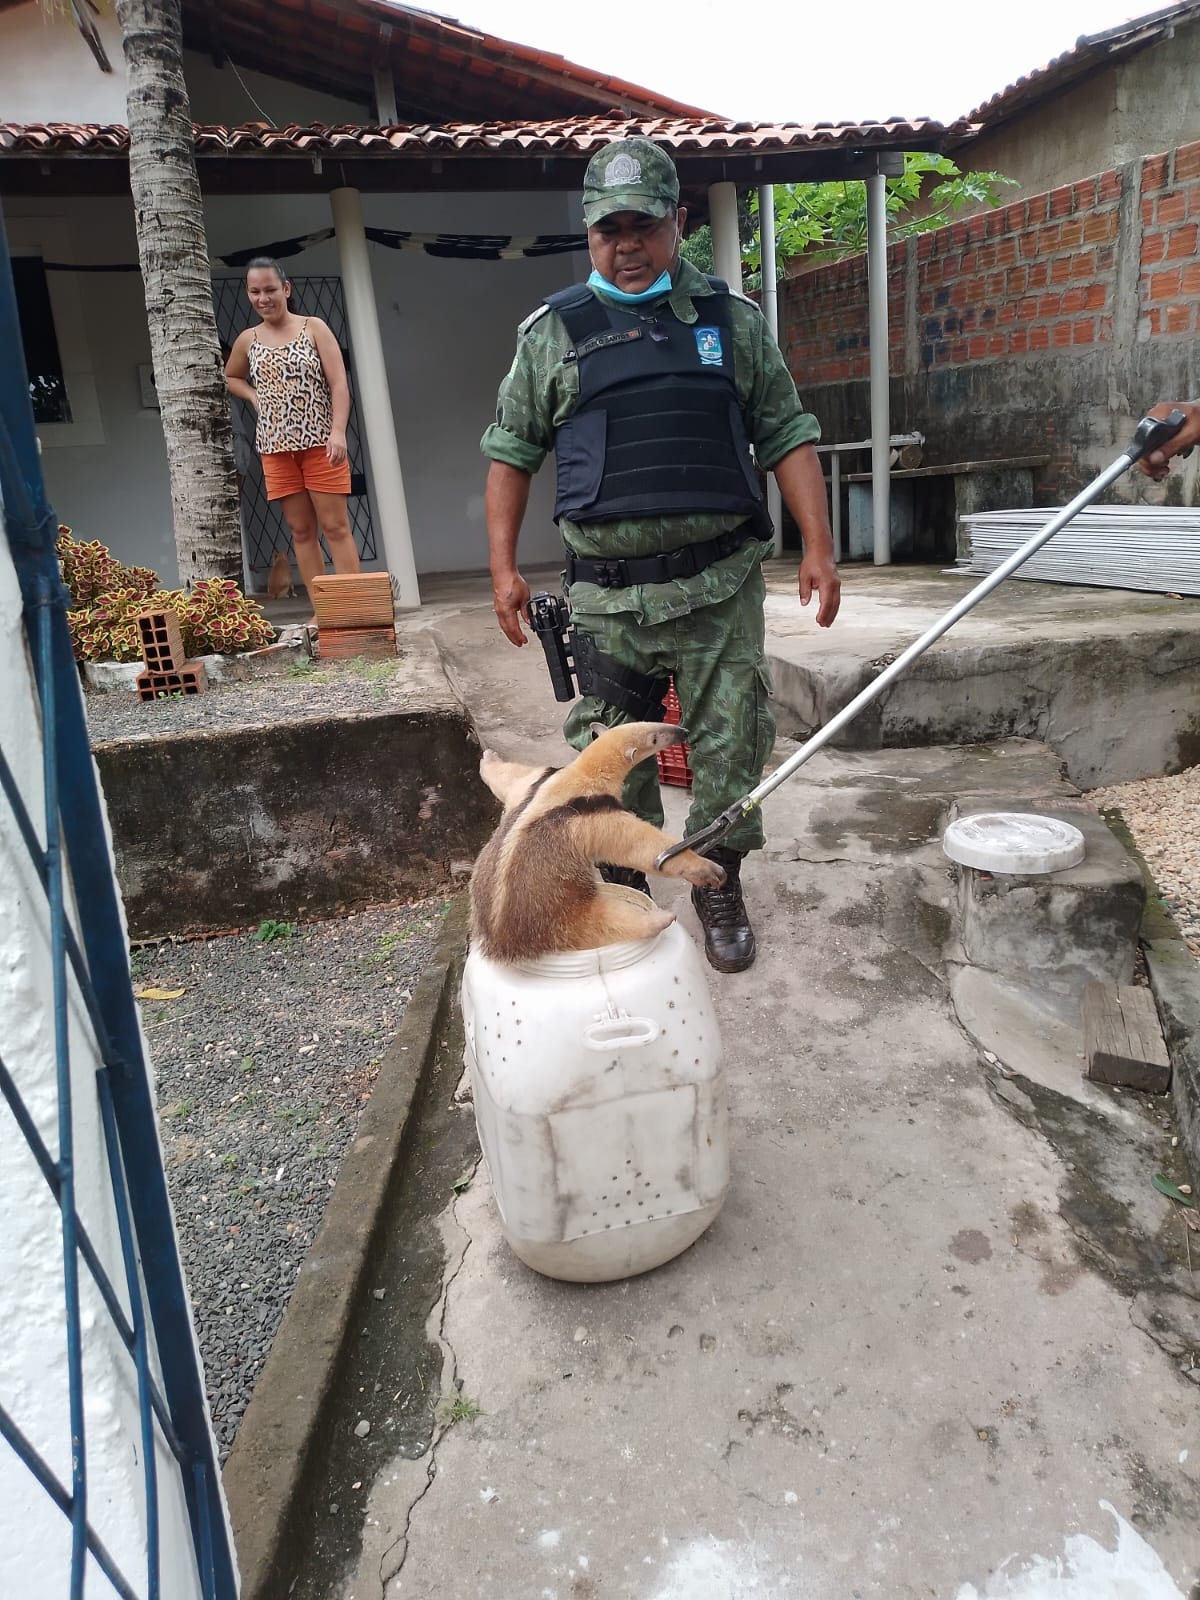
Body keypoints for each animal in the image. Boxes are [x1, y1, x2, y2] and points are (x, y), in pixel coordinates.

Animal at [473, 726, 729, 960]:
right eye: (654, 739)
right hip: (559, 915)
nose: (683, 731)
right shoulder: (594, 816)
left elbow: (507, 776)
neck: (577, 775)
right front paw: (709, 870)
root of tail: (502, 943)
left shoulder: (533, 782)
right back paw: (659, 919)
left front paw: (488, 757)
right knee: (603, 922)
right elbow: (638, 843)